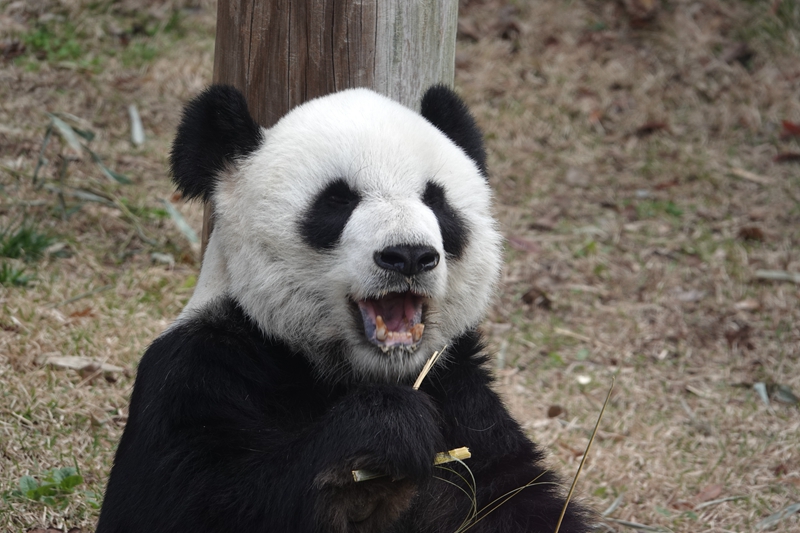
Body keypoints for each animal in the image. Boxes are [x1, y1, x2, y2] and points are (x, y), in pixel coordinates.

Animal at [97, 85, 592, 528]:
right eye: (337, 200)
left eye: (436, 200)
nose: (408, 255)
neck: (355, 372)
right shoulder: (201, 369)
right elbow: (180, 504)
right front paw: (381, 440)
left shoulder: (461, 397)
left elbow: (513, 500)